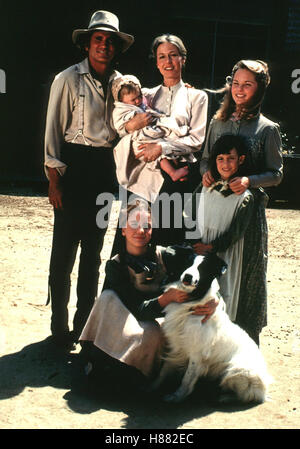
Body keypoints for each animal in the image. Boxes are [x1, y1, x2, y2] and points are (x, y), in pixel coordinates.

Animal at [152, 254, 272, 404]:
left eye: (202, 268)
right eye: (188, 262)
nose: (188, 276)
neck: (191, 305)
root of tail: (264, 390)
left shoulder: (197, 354)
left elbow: (186, 379)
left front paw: (176, 397)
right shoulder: (176, 346)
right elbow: (163, 370)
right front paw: (151, 387)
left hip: (236, 371)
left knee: (245, 396)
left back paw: (222, 396)